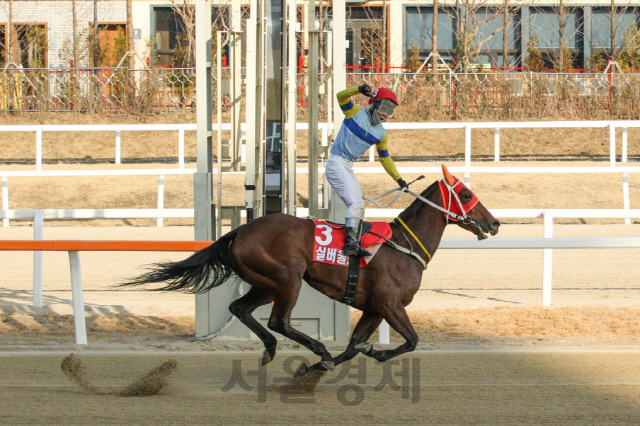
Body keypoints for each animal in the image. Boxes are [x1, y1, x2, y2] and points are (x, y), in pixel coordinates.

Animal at [120, 165, 500, 374]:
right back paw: (313, 348)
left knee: (239, 308)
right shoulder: (390, 305)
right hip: (288, 278)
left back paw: (272, 350)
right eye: (466, 194)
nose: (494, 223)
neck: (403, 247)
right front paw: (370, 353)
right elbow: (412, 341)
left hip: (265, 282)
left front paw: (314, 368)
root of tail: (238, 231)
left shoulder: (374, 308)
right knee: (278, 321)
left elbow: (353, 346)